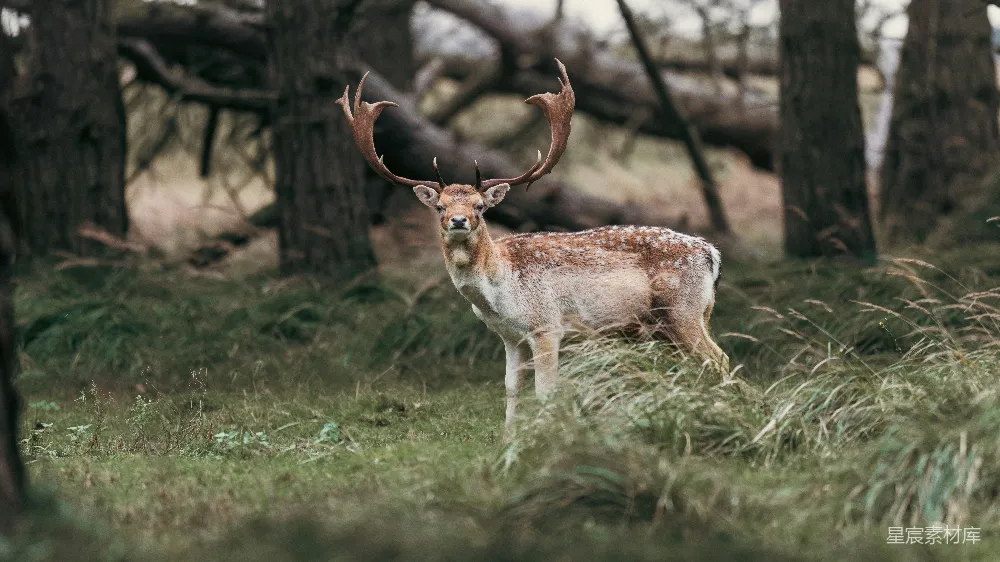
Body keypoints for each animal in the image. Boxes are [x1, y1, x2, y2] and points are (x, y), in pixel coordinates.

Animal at [338, 60, 730, 443]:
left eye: (480, 206)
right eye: (440, 207)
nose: (459, 220)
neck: (499, 288)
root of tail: (711, 252)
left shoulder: (547, 326)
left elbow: (545, 390)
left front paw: (544, 437)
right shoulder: (510, 337)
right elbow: (511, 387)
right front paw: (507, 440)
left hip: (682, 311)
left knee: (720, 359)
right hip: (683, 320)